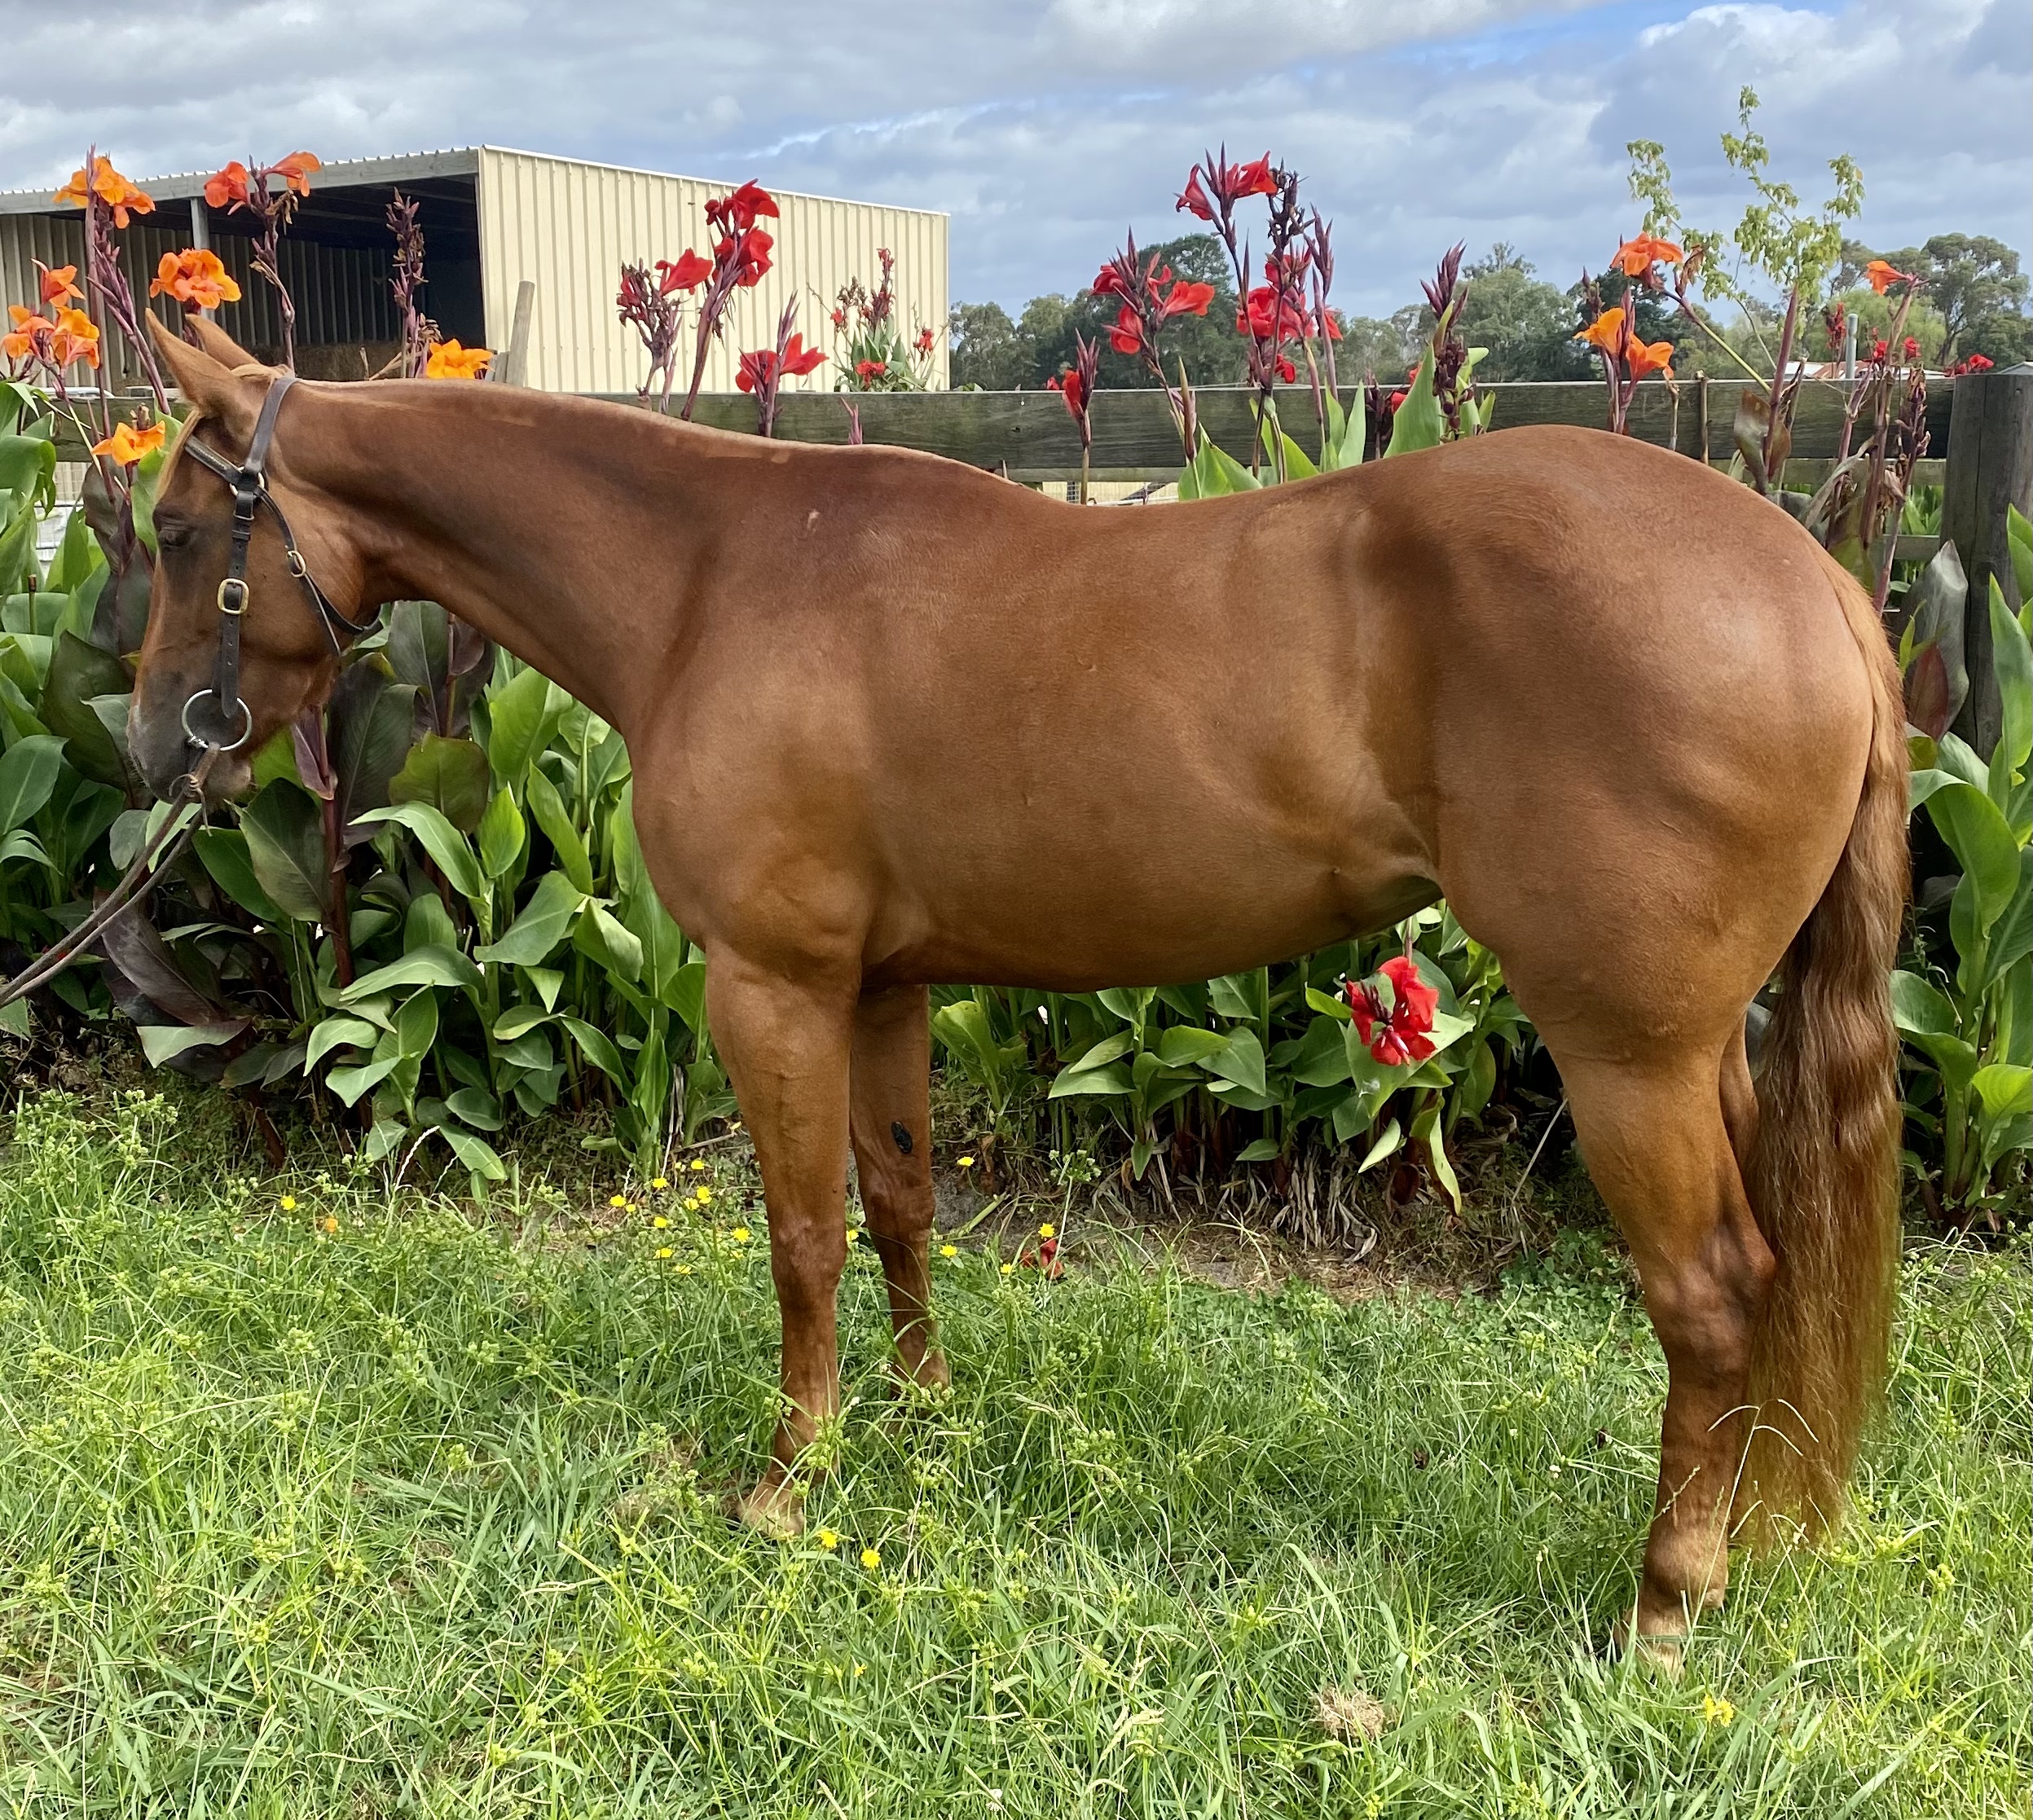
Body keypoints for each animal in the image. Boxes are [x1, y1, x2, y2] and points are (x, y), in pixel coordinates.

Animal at [134, 316, 1905, 1660]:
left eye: (168, 532)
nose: (161, 743)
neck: (714, 578)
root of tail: (1815, 582)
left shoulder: (769, 985)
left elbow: (799, 1233)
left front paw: (786, 1478)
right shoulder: (883, 986)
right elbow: (901, 1201)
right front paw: (916, 1417)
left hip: (1628, 1057)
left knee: (1710, 1293)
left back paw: (1663, 1604)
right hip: (1705, 1054)